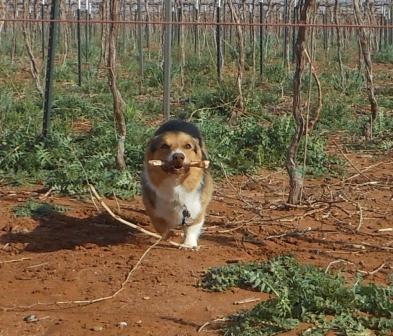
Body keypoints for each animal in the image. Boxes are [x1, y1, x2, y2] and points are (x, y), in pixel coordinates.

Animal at [142, 119, 213, 248]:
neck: (176, 183)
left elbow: (192, 227)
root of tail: (180, 120)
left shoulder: (197, 208)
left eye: (188, 146)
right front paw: (169, 234)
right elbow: (160, 226)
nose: (178, 156)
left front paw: (189, 245)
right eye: (164, 146)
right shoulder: (153, 209)